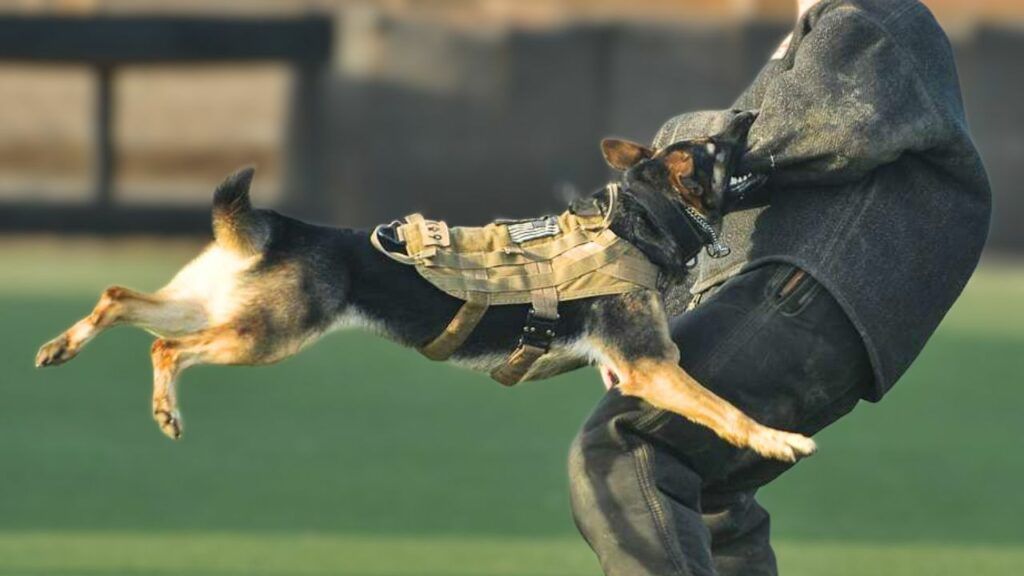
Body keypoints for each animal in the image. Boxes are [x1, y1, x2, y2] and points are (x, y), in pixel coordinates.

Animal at [34, 112, 815, 461]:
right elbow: (724, 409)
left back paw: (59, 348)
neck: (639, 220)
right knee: (164, 350)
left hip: (216, 308)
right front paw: (776, 439)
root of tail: (283, 227)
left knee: (118, 297)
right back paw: (164, 410)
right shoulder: (651, 367)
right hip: (264, 336)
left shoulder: (634, 371)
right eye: (718, 147)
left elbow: (710, 405)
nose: (749, 115)